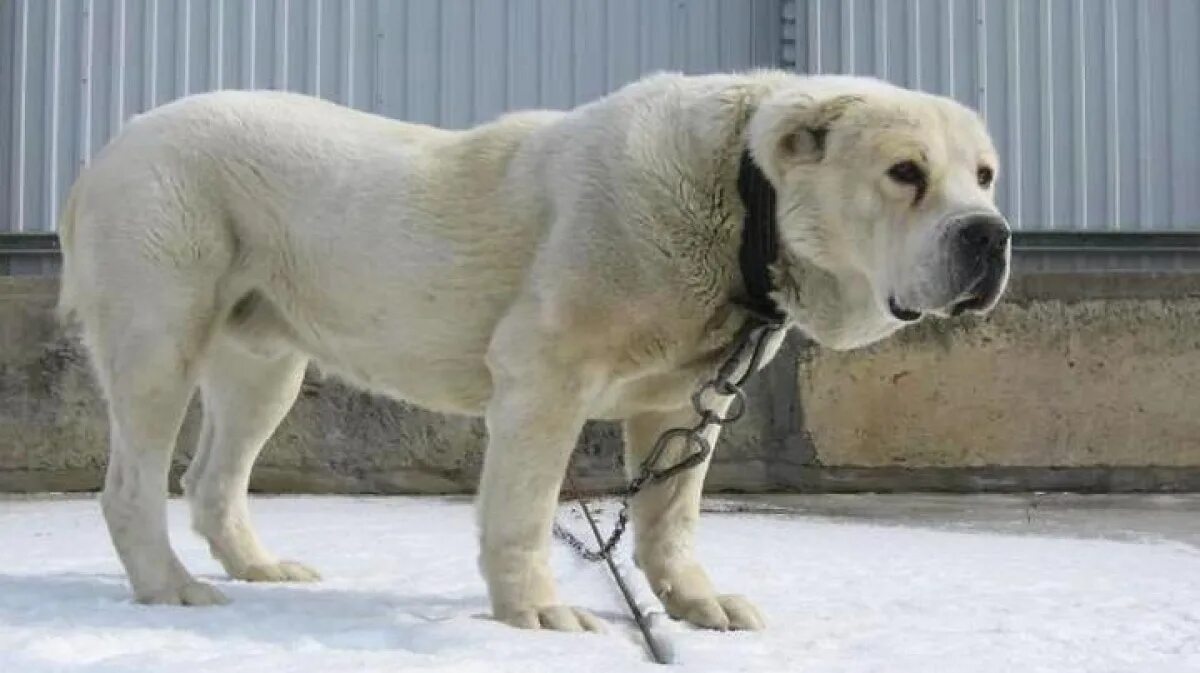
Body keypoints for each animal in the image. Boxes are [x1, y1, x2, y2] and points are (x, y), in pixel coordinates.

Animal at [58, 70, 1012, 633]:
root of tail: (112, 143)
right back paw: (171, 589)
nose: (991, 235)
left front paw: (694, 604)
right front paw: (538, 614)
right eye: (904, 172)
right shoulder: (542, 377)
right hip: (160, 332)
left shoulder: (682, 402)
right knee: (132, 482)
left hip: (264, 365)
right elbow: (521, 509)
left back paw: (259, 567)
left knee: (211, 478)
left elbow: (670, 516)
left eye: (985, 176)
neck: (746, 203)